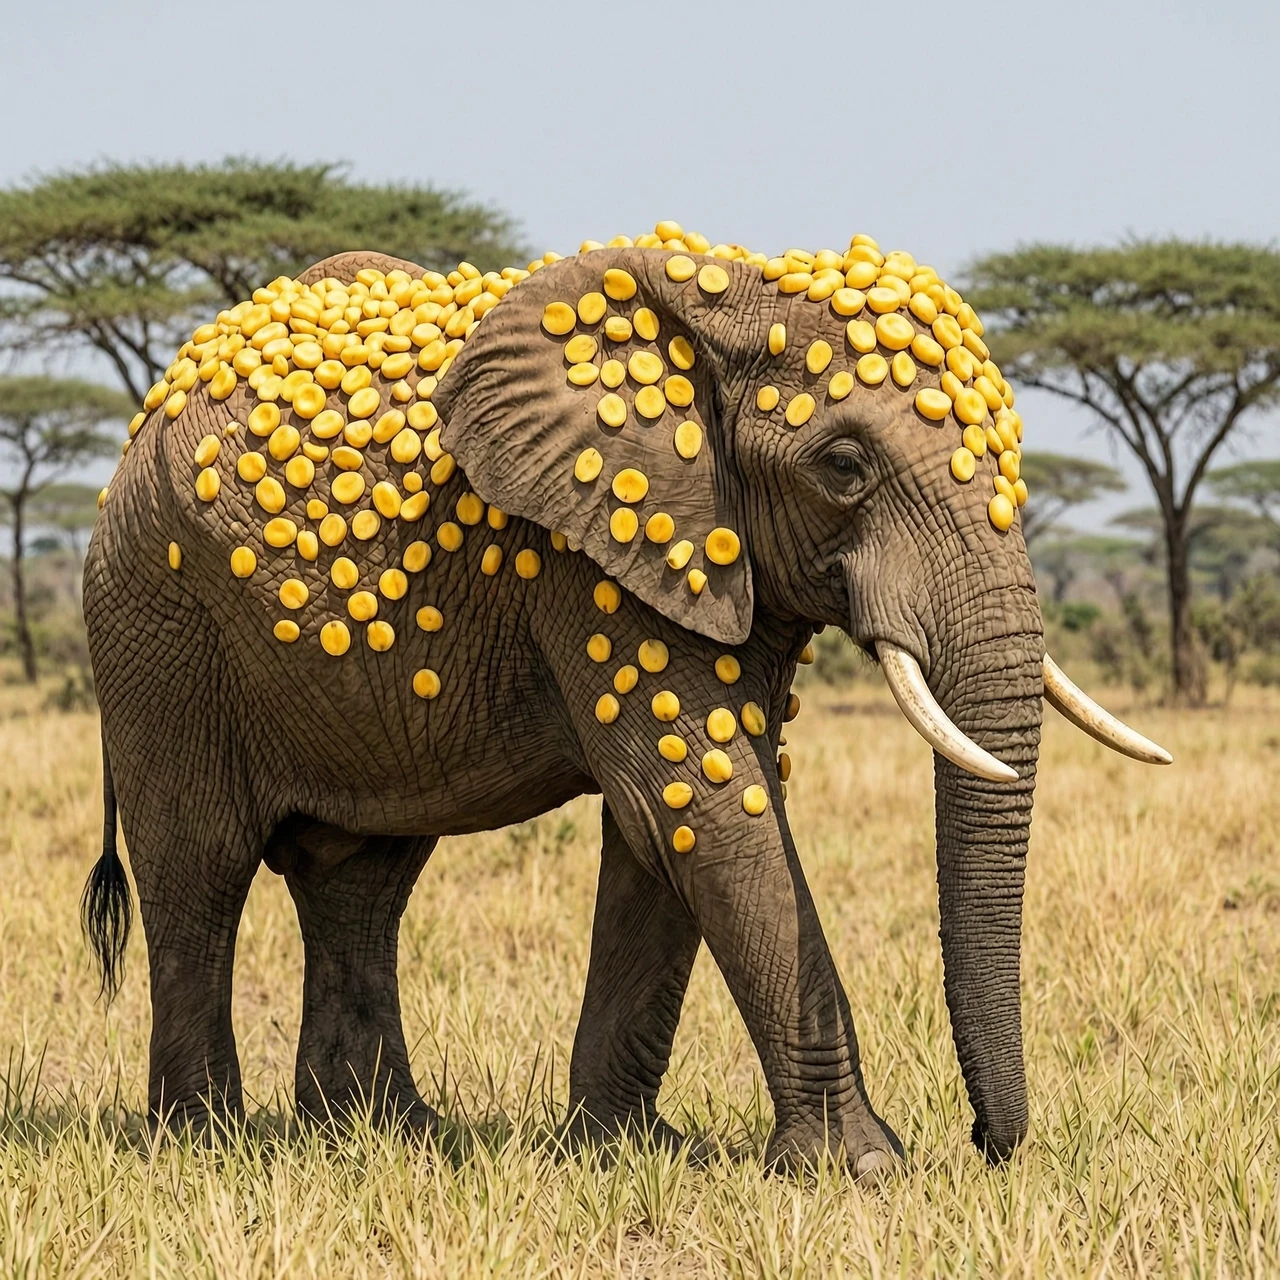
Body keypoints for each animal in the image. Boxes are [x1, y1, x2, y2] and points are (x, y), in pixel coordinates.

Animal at [80, 225, 1172, 1173]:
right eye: (843, 467)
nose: (988, 1145)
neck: (728, 294)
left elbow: (671, 822)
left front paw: (624, 1149)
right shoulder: (587, 552)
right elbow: (707, 808)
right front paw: (862, 1168)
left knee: (360, 876)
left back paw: (384, 1134)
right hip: (157, 623)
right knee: (200, 863)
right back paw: (204, 1140)